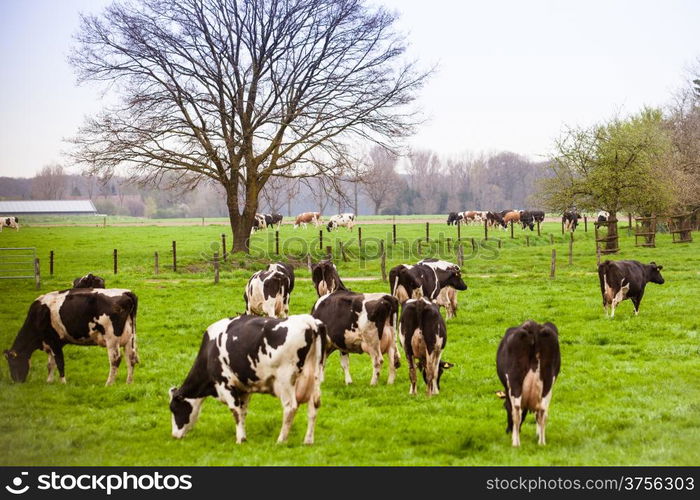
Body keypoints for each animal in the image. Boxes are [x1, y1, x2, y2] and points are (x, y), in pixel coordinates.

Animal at [4, 288, 139, 384]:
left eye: (12, 363)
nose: (16, 381)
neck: (38, 316)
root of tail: (126, 293)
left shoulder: (54, 340)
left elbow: (59, 362)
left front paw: (63, 382)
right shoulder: (50, 344)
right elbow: (50, 364)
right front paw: (49, 381)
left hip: (112, 339)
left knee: (115, 359)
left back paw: (109, 383)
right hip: (129, 338)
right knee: (131, 358)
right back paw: (129, 382)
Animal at [170, 314, 326, 444]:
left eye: (174, 409)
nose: (174, 435)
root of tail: (309, 320)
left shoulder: (225, 384)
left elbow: (235, 411)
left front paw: (240, 439)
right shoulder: (244, 388)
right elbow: (243, 411)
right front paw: (243, 435)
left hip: (286, 380)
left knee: (290, 407)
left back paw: (281, 440)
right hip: (315, 379)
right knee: (313, 407)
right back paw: (308, 440)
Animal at [494, 318, 560, 448]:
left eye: (504, 407)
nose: (508, 431)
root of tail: (533, 326)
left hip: (515, 380)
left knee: (517, 409)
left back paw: (516, 443)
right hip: (548, 382)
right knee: (543, 411)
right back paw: (541, 442)